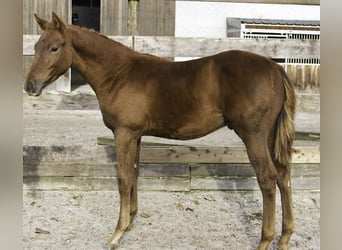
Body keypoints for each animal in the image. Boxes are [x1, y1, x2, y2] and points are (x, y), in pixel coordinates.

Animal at [25, 12, 296, 249]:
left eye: (55, 48)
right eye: (36, 46)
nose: (30, 85)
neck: (119, 74)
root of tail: (275, 68)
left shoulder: (123, 133)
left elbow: (123, 179)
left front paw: (116, 233)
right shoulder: (136, 136)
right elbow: (134, 174)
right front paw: (130, 222)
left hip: (253, 136)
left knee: (268, 180)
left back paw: (265, 240)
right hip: (270, 137)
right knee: (283, 176)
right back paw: (284, 238)